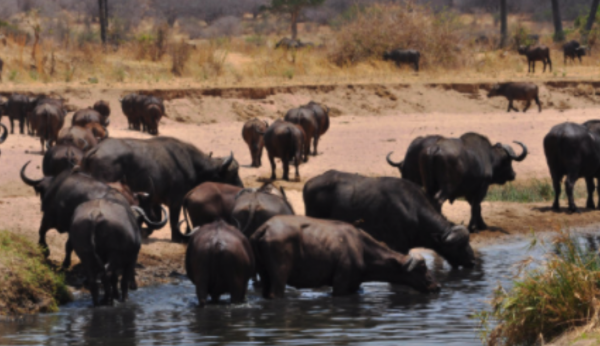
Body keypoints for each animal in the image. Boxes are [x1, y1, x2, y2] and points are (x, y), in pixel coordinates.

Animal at [80, 137, 244, 242]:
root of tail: (96, 149)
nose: (241, 187)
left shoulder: (153, 200)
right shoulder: (176, 201)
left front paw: (144, 231)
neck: (193, 165)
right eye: (233, 173)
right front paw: (176, 238)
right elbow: (173, 220)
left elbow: (155, 218)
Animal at [252, 214, 440, 298]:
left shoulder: (355, 285)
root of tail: (265, 228)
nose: (436, 285)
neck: (362, 249)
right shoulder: (340, 285)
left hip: (264, 276)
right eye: (422, 268)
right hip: (279, 278)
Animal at [302, 170, 476, 268]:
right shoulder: (398, 246)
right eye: (458, 246)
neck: (413, 211)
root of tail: (309, 183)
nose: (472, 261)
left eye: (467, 241)